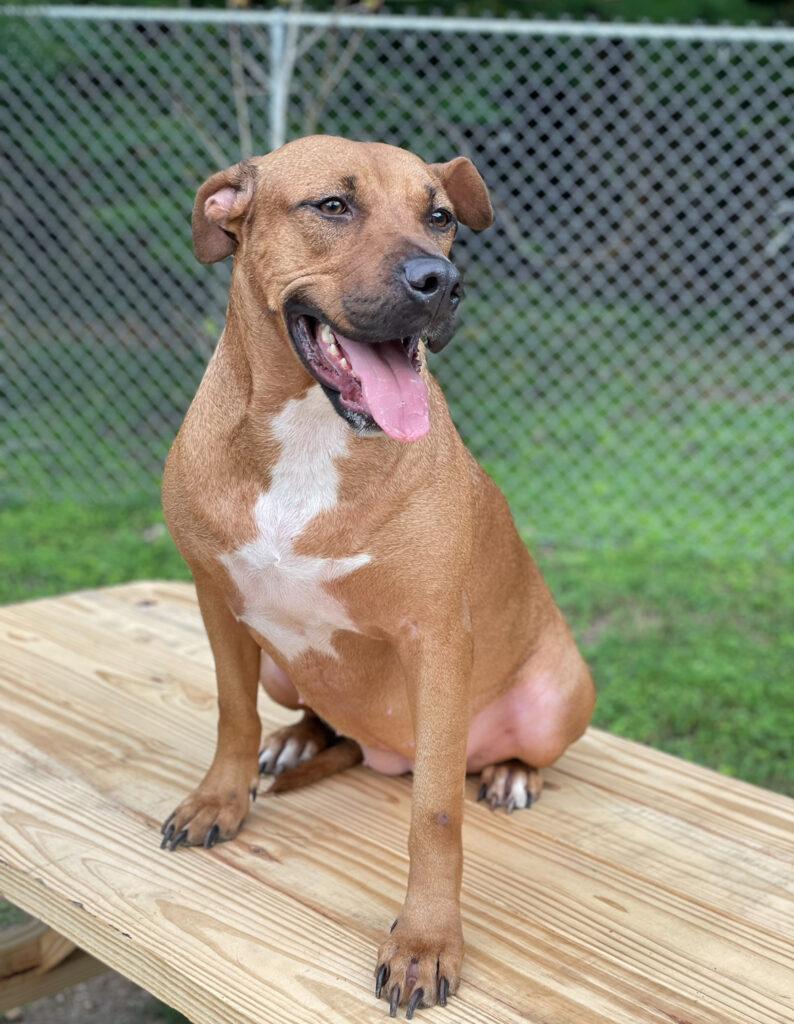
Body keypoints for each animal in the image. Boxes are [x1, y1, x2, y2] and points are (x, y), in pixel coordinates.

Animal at [161, 135, 595, 1018]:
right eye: (334, 205)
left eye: (441, 216)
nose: (442, 281)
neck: (306, 436)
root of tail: (382, 752)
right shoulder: (218, 603)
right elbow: (232, 714)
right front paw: (220, 798)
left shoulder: (436, 643)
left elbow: (435, 815)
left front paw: (425, 941)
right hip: (285, 666)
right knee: (313, 715)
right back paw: (301, 739)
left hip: (559, 694)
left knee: (498, 758)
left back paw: (508, 773)